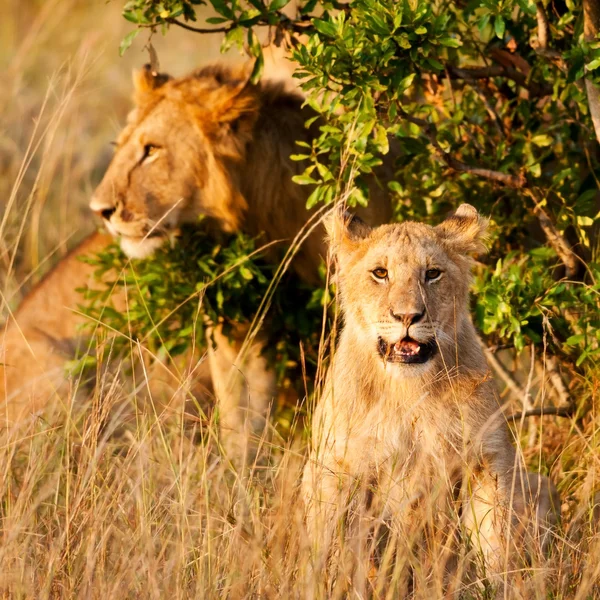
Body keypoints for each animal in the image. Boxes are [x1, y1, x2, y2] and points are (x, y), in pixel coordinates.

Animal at [302, 205, 560, 592]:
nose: (407, 316)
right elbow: (331, 547)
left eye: (432, 274)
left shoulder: (487, 459)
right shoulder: (336, 465)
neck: (407, 389)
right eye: (380, 273)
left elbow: (495, 539)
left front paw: (500, 586)